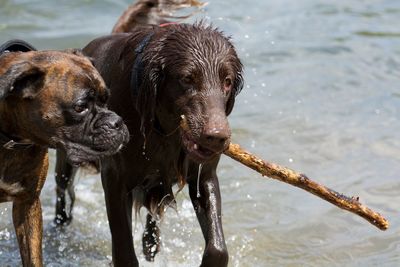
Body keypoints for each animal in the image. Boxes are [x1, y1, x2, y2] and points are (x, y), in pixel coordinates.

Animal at [0, 39, 128, 267]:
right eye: (80, 107)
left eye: (106, 99)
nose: (117, 122)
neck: (12, 142)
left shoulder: (28, 204)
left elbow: (33, 257)